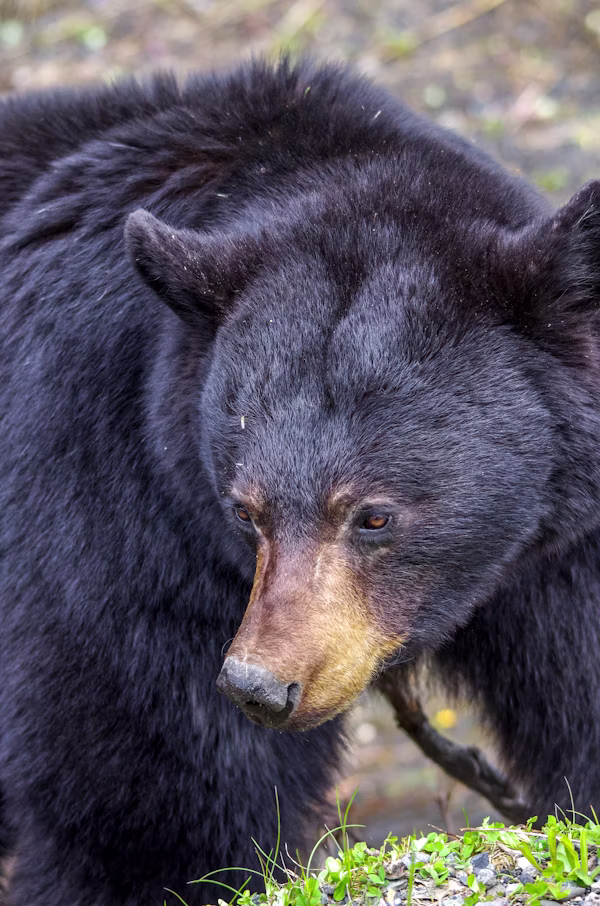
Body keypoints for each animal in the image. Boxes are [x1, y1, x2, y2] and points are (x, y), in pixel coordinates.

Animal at [1, 55, 600, 906]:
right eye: (245, 511)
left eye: (373, 516)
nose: (260, 684)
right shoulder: (110, 490)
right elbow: (145, 783)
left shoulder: (564, 537)